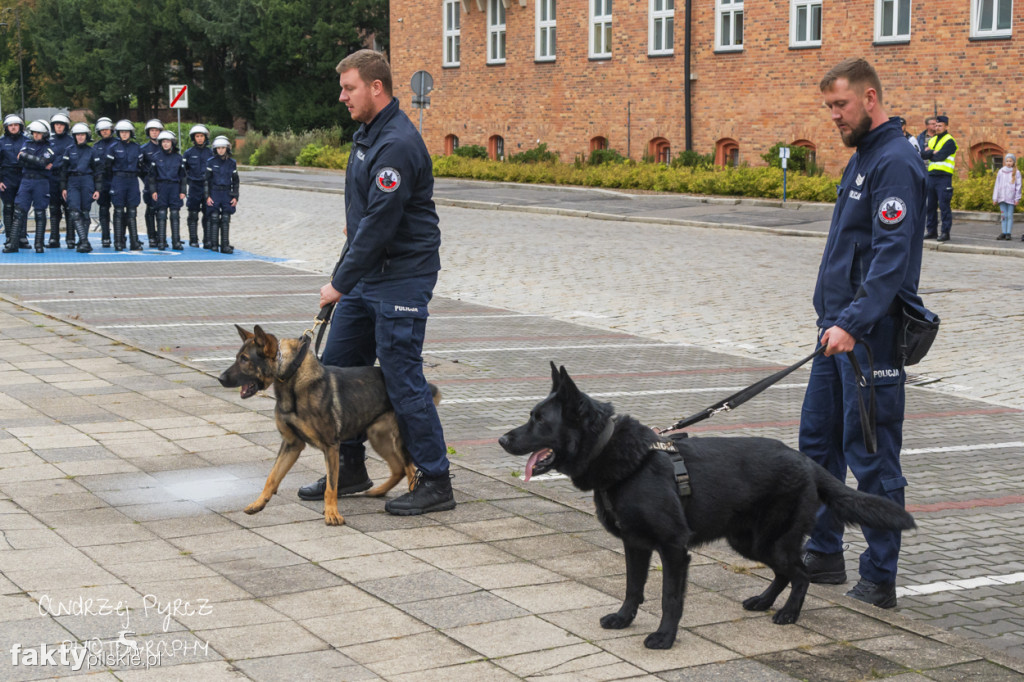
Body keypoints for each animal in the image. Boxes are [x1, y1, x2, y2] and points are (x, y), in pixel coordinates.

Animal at [218, 323, 438, 524]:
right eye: (238, 357)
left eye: (245, 359)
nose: (220, 378)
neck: (292, 377)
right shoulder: (292, 445)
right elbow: (272, 477)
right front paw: (258, 503)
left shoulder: (331, 446)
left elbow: (331, 486)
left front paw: (332, 513)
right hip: (378, 438)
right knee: (398, 469)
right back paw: (378, 491)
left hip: (399, 441)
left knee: (410, 470)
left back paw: (411, 500)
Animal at [495, 360, 913, 647]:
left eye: (539, 420)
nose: (501, 440)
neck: (619, 455)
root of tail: (807, 462)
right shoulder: (635, 545)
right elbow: (632, 587)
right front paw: (624, 619)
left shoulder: (673, 549)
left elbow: (669, 598)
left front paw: (664, 638)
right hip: (749, 541)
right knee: (785, 573)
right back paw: (764, 602)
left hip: (769, 540)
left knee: (801, 574)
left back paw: (788, 614)